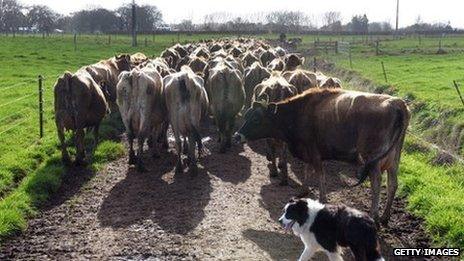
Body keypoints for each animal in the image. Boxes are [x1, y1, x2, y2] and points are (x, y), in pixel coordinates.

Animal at [236, 88, 410, 222]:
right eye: (246, 115)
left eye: (256, 119)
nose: (237, 136)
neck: (298, 113)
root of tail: (397, 104)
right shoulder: (307, 151)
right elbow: (307, 171)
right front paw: (303, 191)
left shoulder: (314, 151)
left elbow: (320, 175)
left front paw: (322, 199)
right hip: (394, 159)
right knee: (393, 184)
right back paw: (385, 217)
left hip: (373, 159)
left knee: (376, 184)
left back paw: (374, 216)